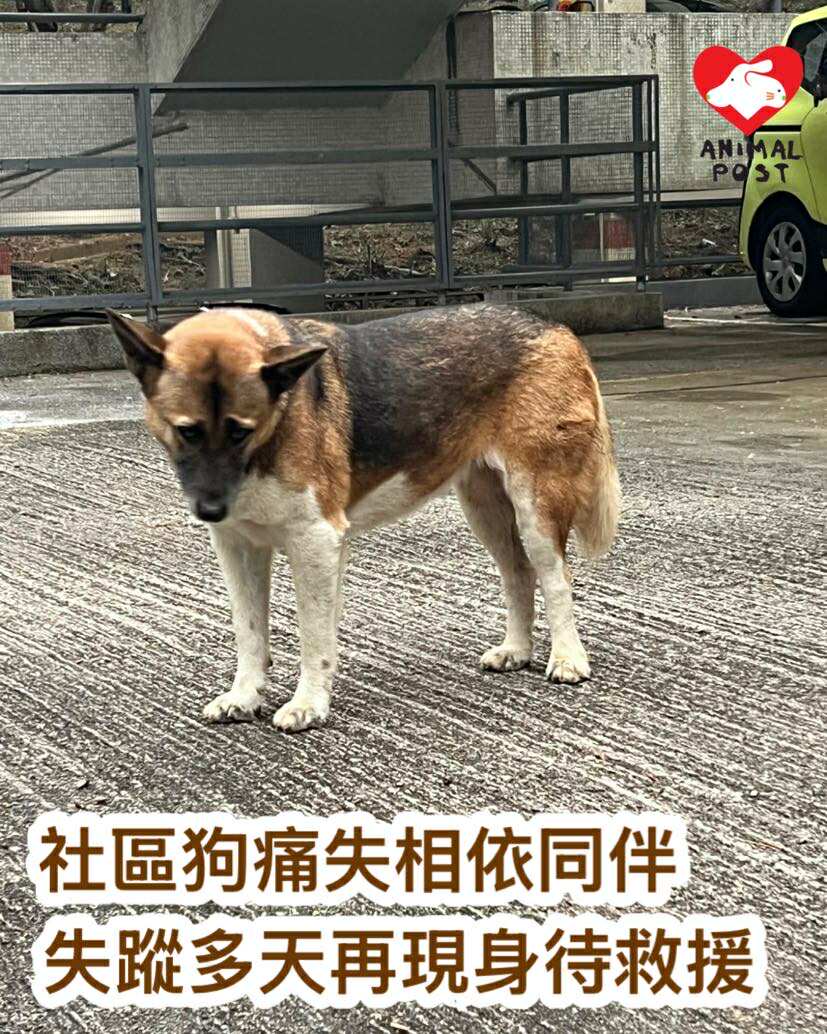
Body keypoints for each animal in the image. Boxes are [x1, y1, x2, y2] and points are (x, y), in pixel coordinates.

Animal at [108, 303, 620, 733]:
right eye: (187, 431)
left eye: (240, 432)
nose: (210, 509)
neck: (277, 422)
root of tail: (555, 327)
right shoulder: (238, 546)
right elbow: (249, 631)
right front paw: (245, 695)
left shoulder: (315, 541)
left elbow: (313, 637)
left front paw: (308, 704)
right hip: (485, 508)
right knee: (518, 574)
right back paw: (516, 650)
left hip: (535, 507)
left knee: (555, 577)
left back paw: (568, 657)